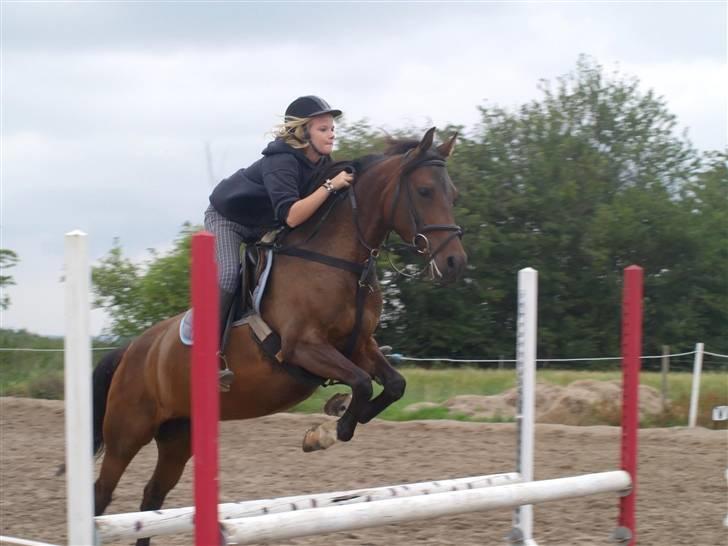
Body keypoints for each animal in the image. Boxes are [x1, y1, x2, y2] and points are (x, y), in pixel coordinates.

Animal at [91, 126, 466, 540]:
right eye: (424, 191)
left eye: (453, 196)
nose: (454, 263)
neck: (339, 262)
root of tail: (131, 349)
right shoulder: (302, 347)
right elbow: (361, 383)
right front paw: (326, 430)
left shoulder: (359, 346)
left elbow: (393, 384)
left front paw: (332, 417)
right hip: (127, 432)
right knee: (102, 495)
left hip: (178, 434)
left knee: (151, 499)